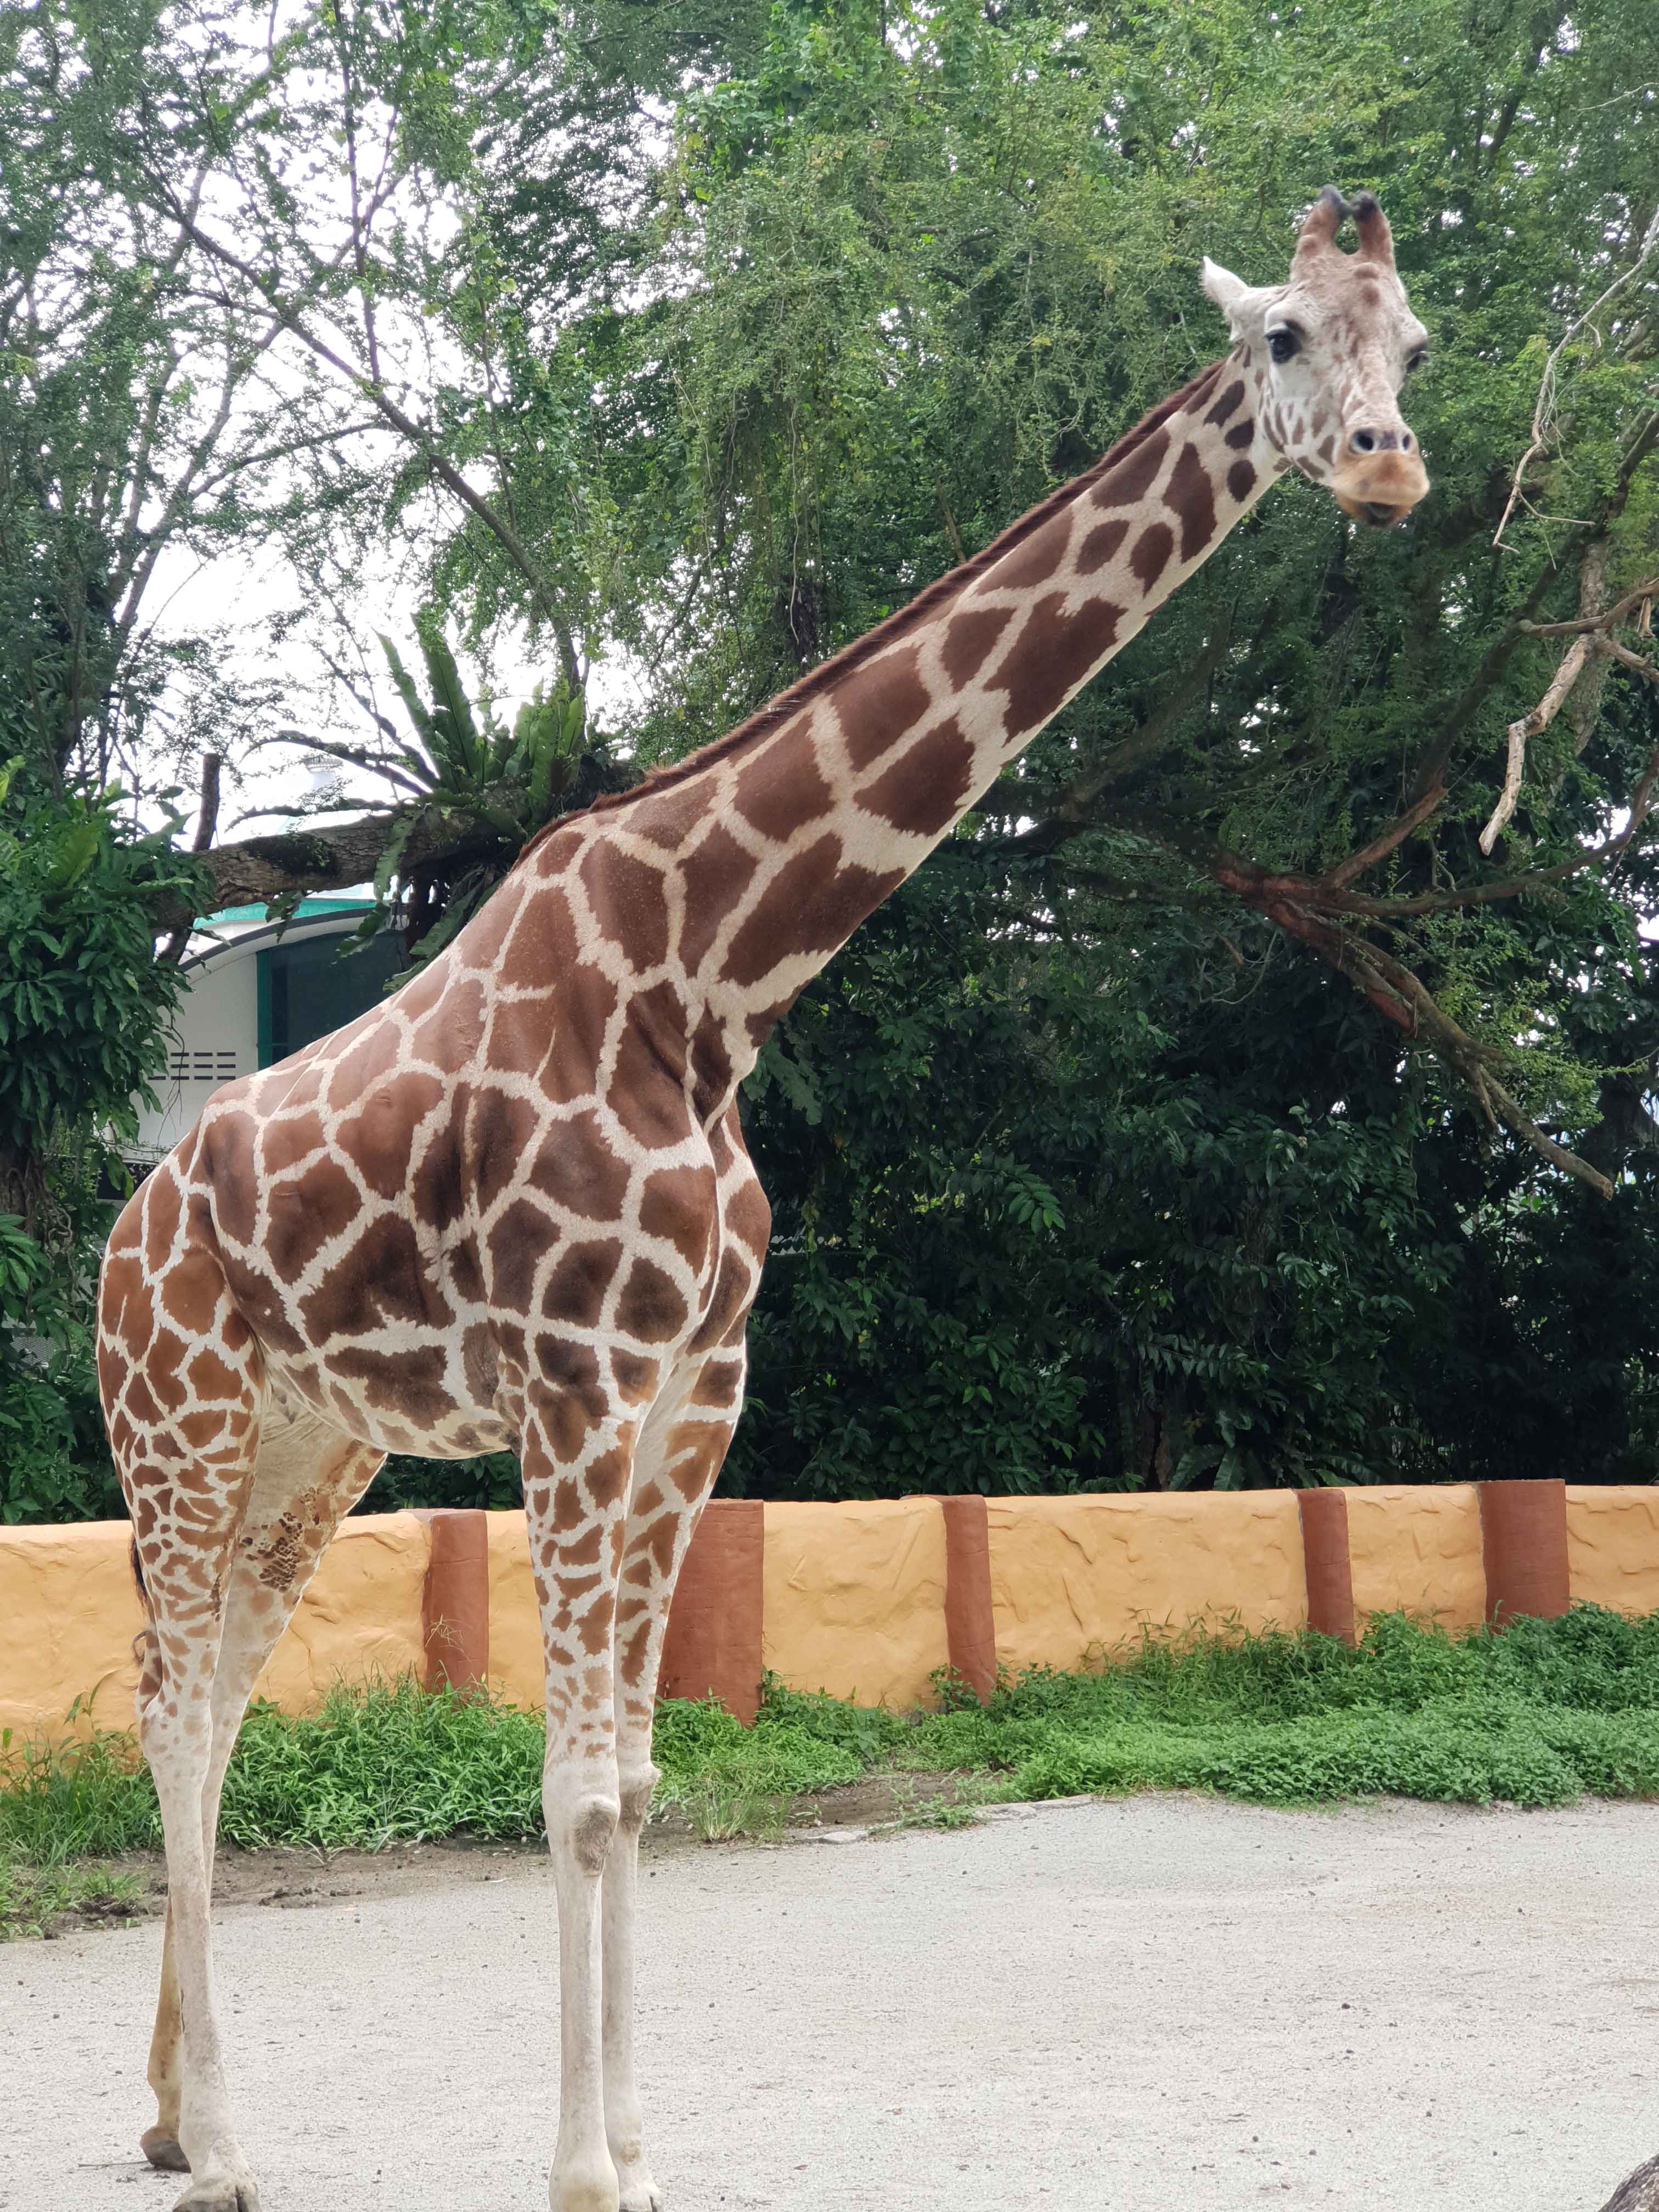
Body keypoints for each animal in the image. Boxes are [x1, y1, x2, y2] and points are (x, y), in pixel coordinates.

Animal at [100, 190, 1433, 2212]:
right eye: (1282, 332)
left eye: (1412, 339)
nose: (1386, 465)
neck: (711, 984)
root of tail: (113, 1240)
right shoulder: (574, 1388)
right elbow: (573, 1794)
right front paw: (584, 2170)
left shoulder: (698, 1392)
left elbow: (641, 1786)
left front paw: (640, 2147)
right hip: (174, 1425)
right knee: (175, 1715)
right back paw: (230, 2149)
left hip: (306, 1451)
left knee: (220, 1706)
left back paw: (175, 2110)